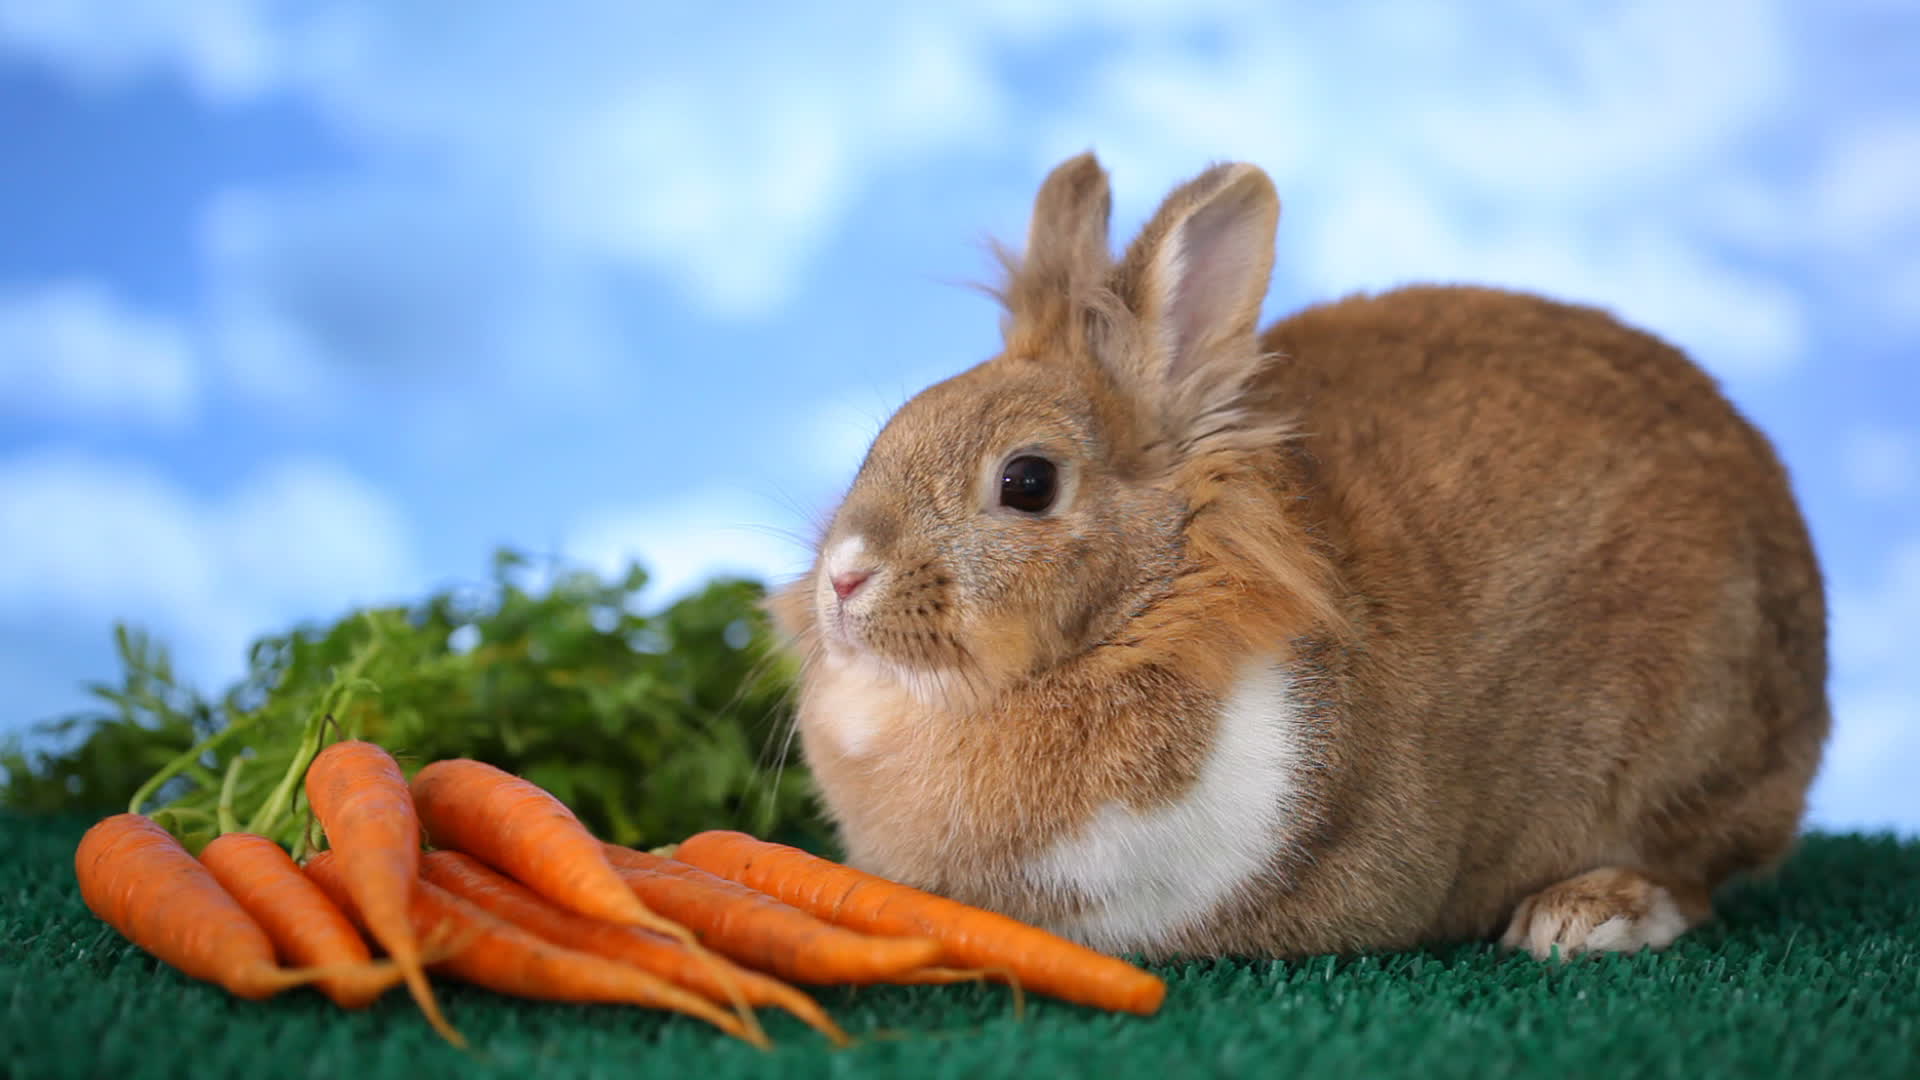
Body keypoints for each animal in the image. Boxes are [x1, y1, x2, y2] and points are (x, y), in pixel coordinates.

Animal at [764, 151, 1827, 957]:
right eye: (888, 433)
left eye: (1028, 482)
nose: (845, 579)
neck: (1156, 600)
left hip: (1694, 740)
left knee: (1692, 874)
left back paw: (1576, 919)